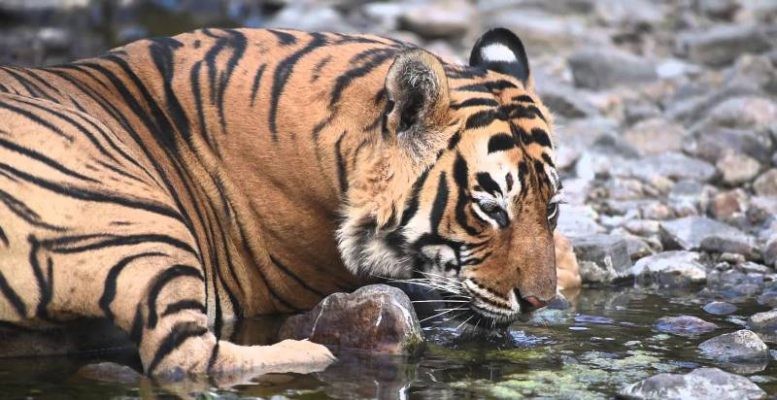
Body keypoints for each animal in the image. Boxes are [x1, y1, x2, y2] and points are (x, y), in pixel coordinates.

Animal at [0, 27, 565, 378]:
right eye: (491, 209)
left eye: (552, 208)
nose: (539, 303)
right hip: (138, 210)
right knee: (184, 355)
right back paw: (313, 352)